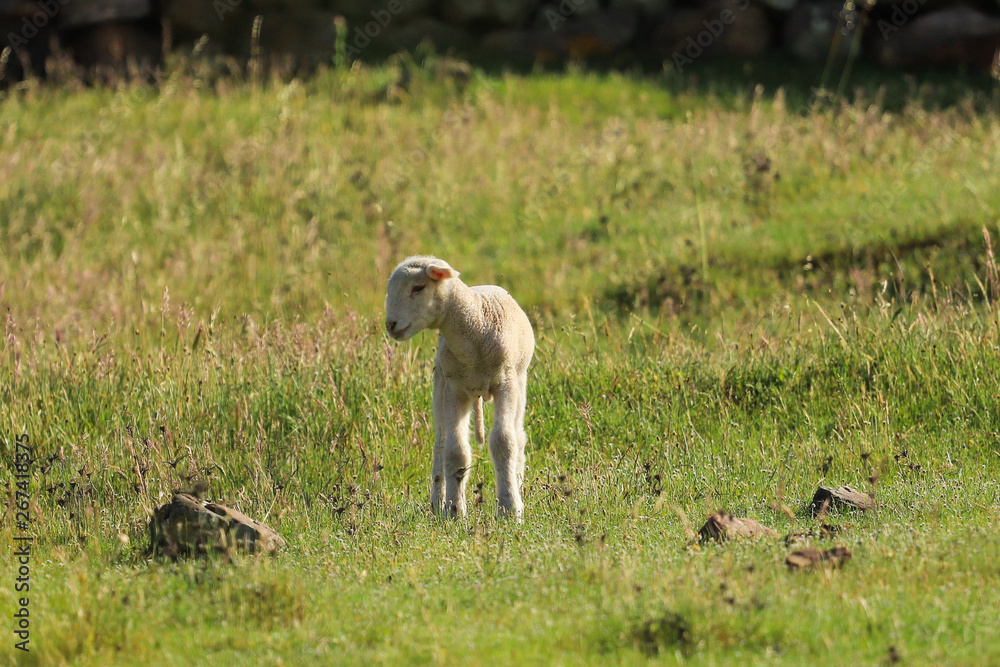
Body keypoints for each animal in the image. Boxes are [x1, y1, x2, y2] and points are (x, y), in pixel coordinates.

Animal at [385, 255, 534, 521]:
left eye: (418, 288)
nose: (390, 324)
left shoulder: (506, 383)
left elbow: (504, 442)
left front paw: (509, 508)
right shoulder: (454, 388)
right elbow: (456, 451)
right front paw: (454, 510)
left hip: (519, 382)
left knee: (518, 436)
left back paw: (516, 483)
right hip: (440, 385)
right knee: (440, 444)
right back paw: (437, 503)